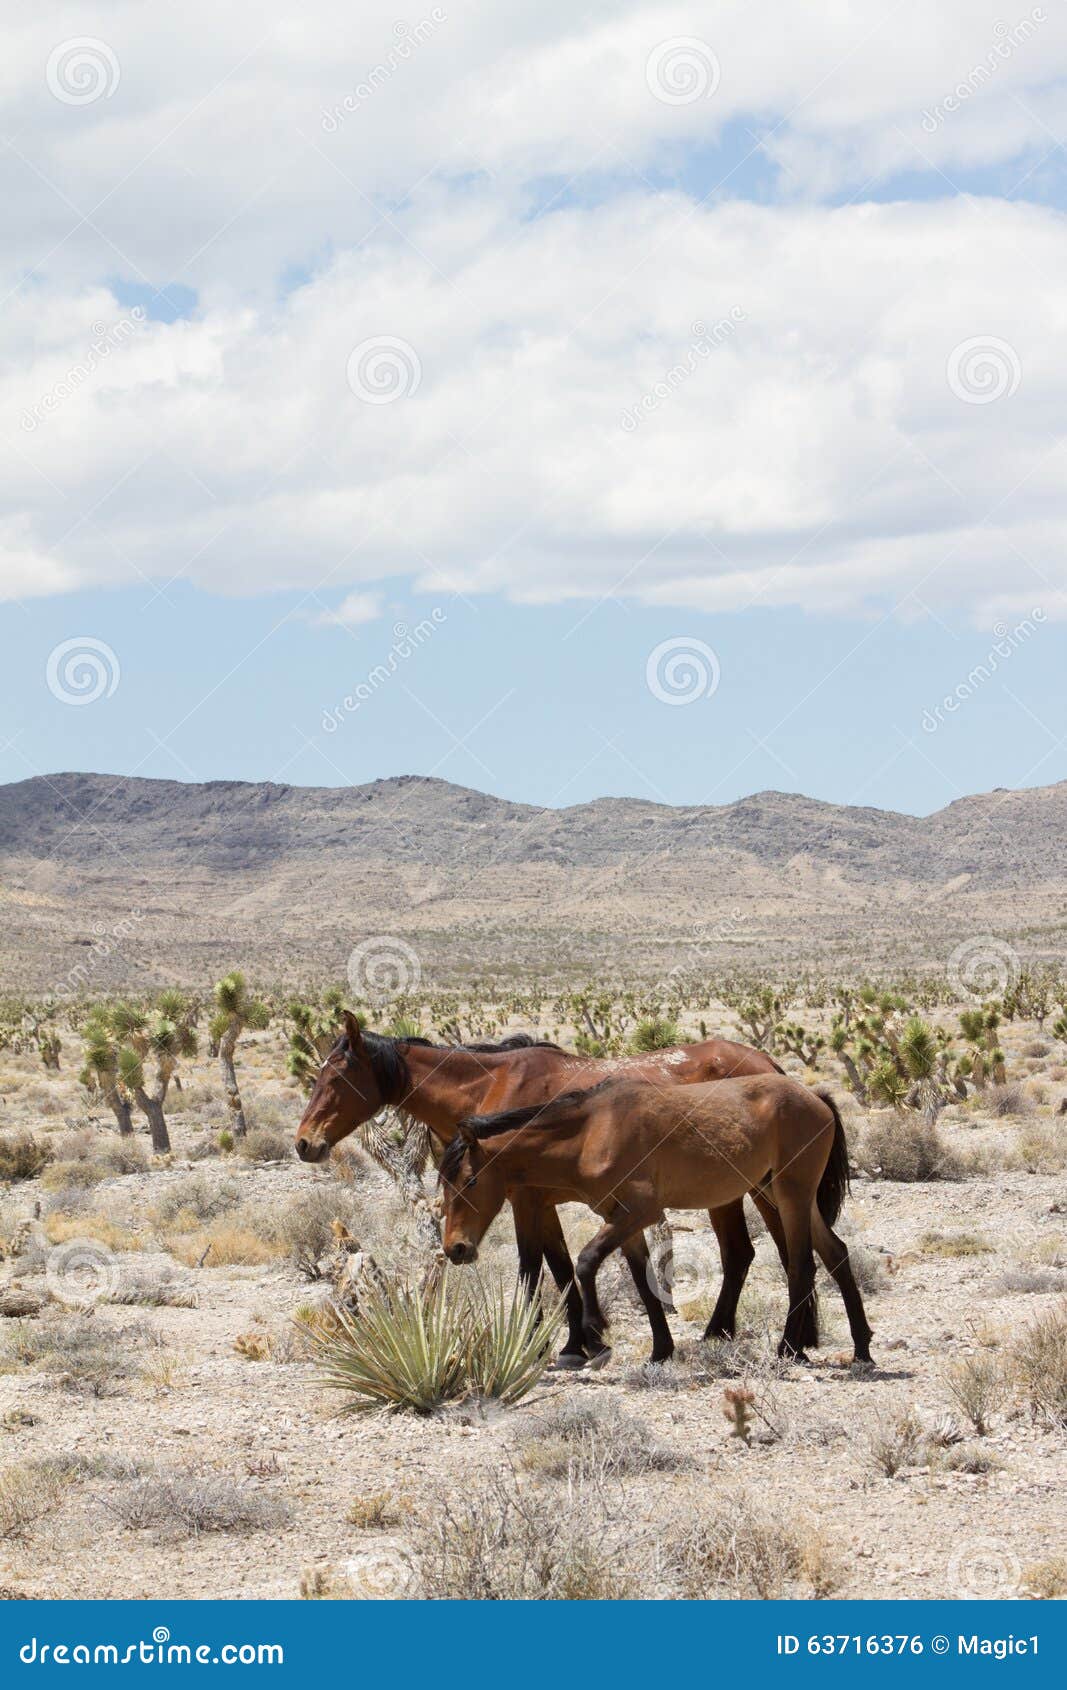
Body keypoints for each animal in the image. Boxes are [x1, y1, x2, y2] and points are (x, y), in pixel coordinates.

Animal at [294, 1011, 789, 1365]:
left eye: (337, 1078)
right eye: (315, 1077)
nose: (304, 1143)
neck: (492, 1087)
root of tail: (765, 1062)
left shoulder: (525, 1201)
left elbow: (533, 1267)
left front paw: (539, 1343)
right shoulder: (539, 1202)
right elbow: (562, 1266)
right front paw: (579, 1343)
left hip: (754, 1188)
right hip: (732, 1191)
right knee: (743, 1251)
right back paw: (721, 1332)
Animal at [439, 1073, 874, 1367]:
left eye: (470, 1181)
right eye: (443, 1183)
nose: (455, 1248)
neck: (592, 1130)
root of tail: (816, 1098)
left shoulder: (639, 1211)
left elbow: (586, 1261)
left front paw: (595, 1338)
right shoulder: (621, 1219)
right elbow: (643, 1280)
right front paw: (661, 1350)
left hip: (790, 1196)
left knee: (801, 1264)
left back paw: (789, 1348)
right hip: (780, 1193)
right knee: (836, 1254)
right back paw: (862, 1348)